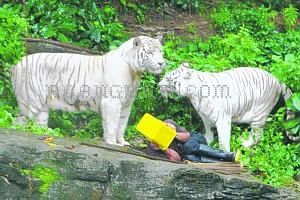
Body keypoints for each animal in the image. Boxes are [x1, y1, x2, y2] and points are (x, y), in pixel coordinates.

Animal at [11, 35, 165, 145]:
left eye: (160, 52)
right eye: (150, 52)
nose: (161, 63)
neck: (134, 72)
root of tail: (15, 65)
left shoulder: (126, 104)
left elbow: (121, 124)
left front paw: (122, 142)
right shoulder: (112, 102)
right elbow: (113, 124)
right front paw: (112, 143)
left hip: (42, 105)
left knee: (39, 122)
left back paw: (49, 133)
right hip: (32, 100)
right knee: (19, 120)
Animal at [159, 63, 298, 152]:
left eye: (169, 79)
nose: (159, 84)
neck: (194, 95)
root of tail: (278, 80)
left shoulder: (222, 119)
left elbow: (223, 139)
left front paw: (224, 152)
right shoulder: (205, 117)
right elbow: (209, 130)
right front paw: (207, 141)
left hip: (259, 113)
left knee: (258, 134)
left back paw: (245, 143)